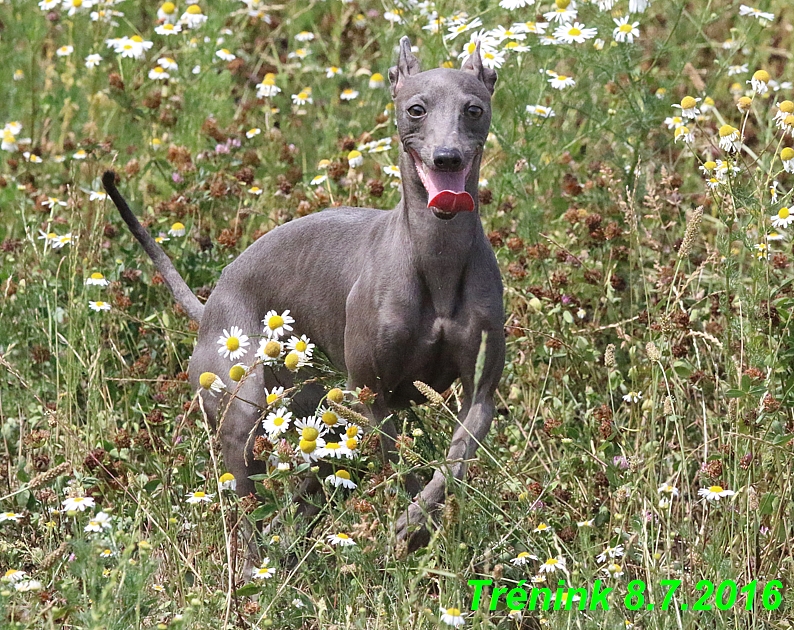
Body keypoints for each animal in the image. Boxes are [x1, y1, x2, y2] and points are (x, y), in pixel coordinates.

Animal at [102, 37, 504, 552]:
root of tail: (210, 304)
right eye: (416, 109)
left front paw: (416, 522)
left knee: (300, 497)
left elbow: (454, 461)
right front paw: (410, 524)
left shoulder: (479, 395)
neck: (437, 259)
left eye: (474, 109)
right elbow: (403, 462)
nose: (447, 157)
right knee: (248, 507)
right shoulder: (372, 395)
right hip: (245, 411)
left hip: (323, 418)